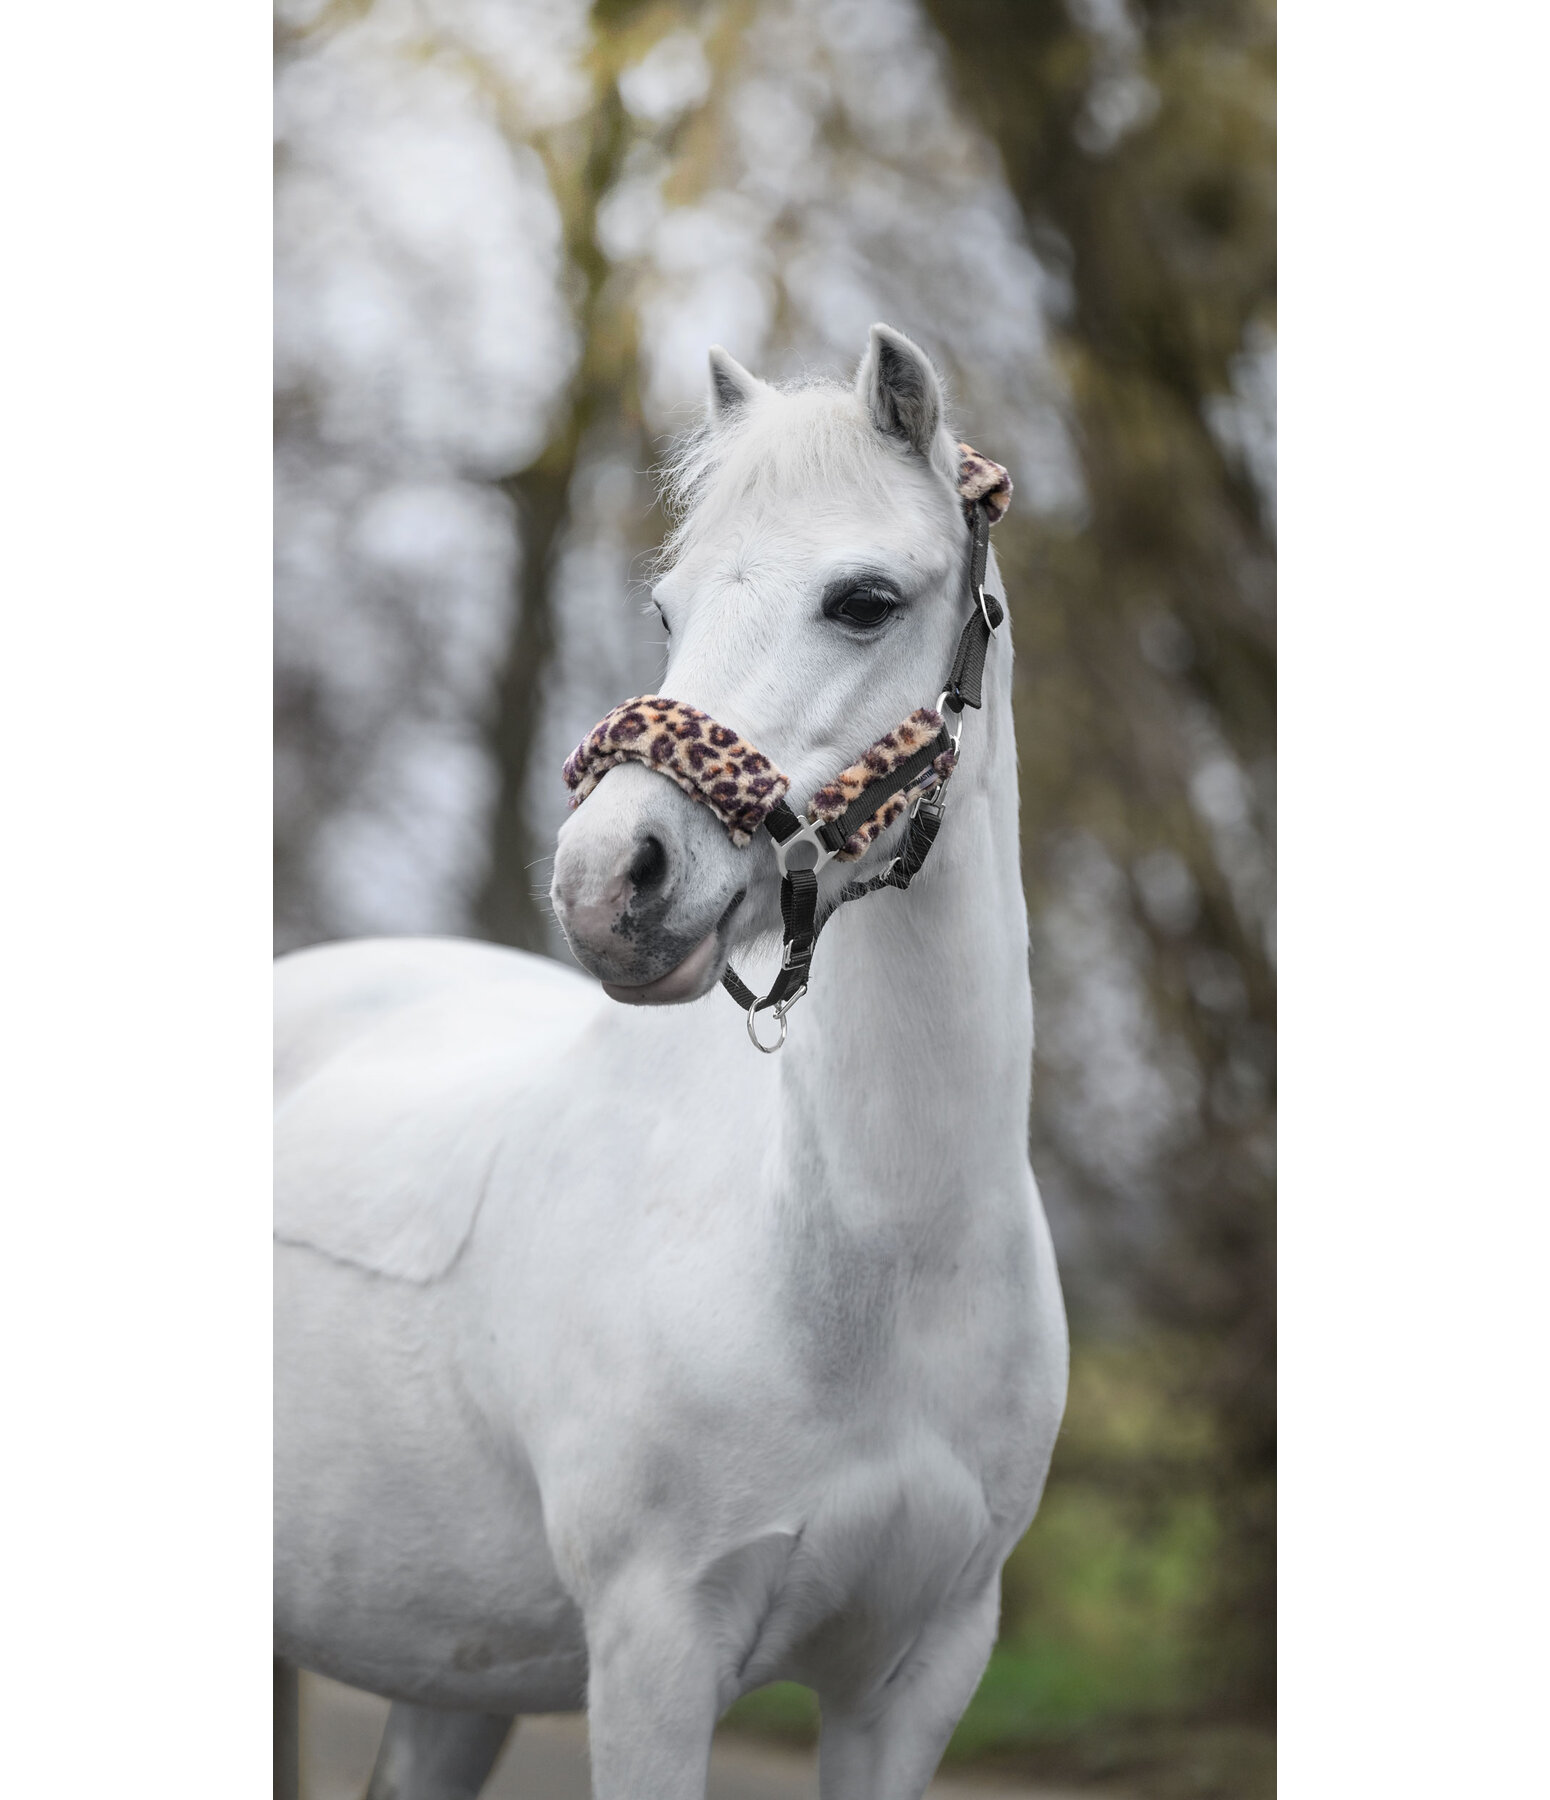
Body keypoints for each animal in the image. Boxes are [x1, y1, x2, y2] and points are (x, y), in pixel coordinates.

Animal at [274, 324, 1068, 1800]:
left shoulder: (917, 1677)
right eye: (666, 610)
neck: (869, 1271)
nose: (607, 883)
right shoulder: (653, 1658)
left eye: (864, 600)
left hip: (447, 1668)